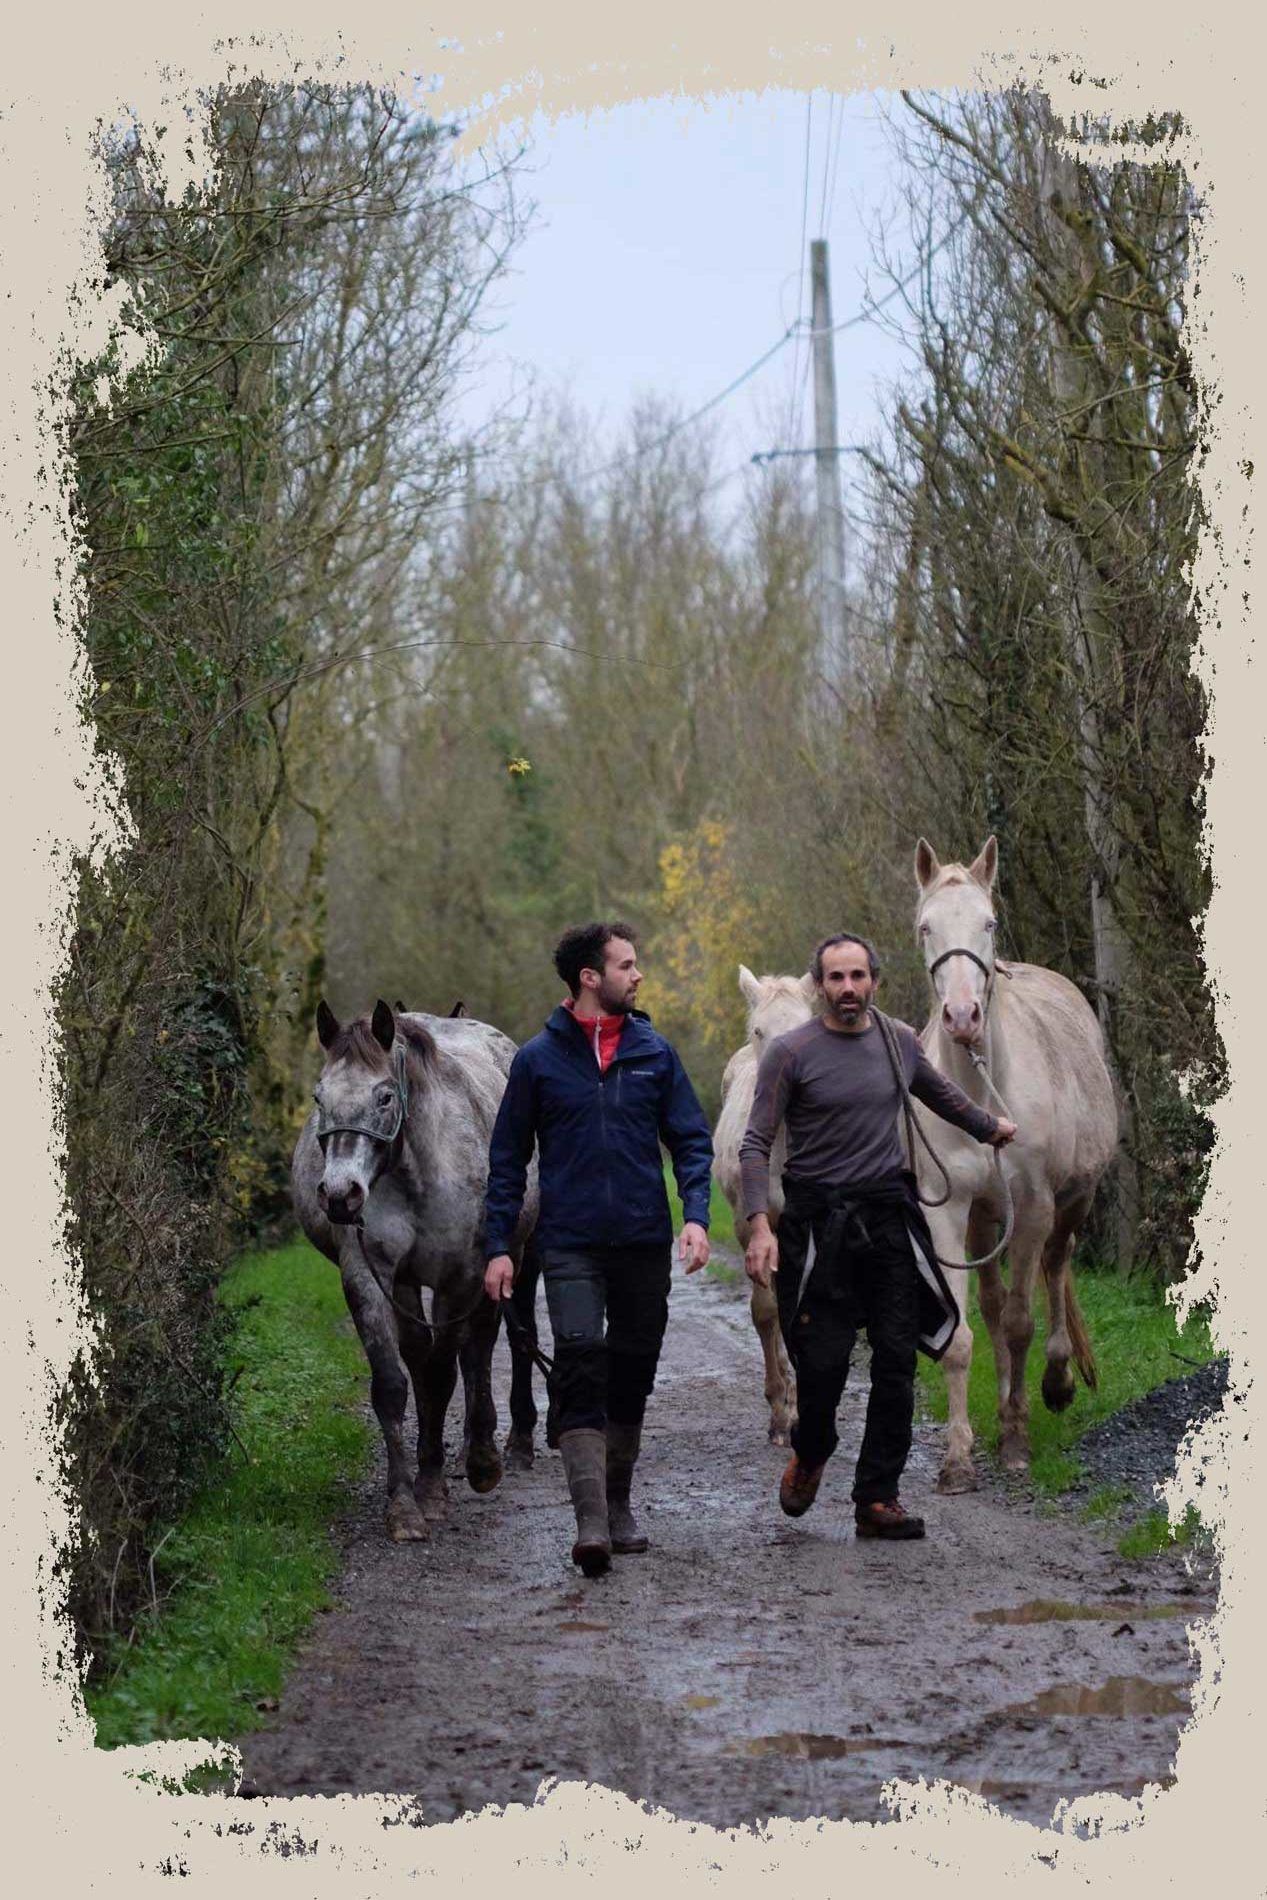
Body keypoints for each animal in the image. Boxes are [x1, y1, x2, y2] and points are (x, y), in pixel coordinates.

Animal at [294, 1003, 539, 1535]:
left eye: (385, 1096)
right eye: (319, 1097)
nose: (340, 1195)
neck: (417, 1171)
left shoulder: (460, 1278)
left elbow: (445, 1372)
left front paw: (431, 1487)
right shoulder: (370, 1275)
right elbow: (394, 1383)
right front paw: (405, 1503)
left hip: (510, 1259)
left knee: (483, 1347)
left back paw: (487, 1455)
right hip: (407, 1284)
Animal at [911, 839, 1116, 1489]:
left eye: (989, 922)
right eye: (926, 926)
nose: (962, 1017)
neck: (981, 1091)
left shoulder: (1032, 1208)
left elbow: (1024, 1323)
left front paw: (1018, 1440)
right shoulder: (948, 1213)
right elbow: (965, 1334)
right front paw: (958, 1456)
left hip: (1072, 1201)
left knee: (1053, 1269)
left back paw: (1054, 1384)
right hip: (983, 1216)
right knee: (996, 1307)